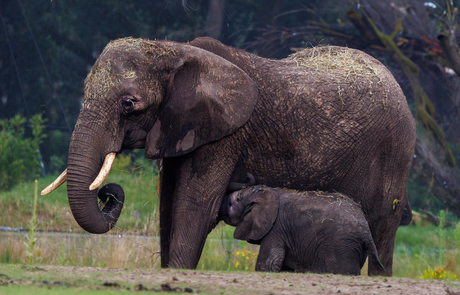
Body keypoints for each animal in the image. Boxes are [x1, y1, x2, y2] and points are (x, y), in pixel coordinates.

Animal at [220, 186, 384, 276]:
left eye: (233, 201)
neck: (268, 191)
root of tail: (365, 229)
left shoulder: (276, 229)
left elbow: (268, 264)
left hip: (342, 245)